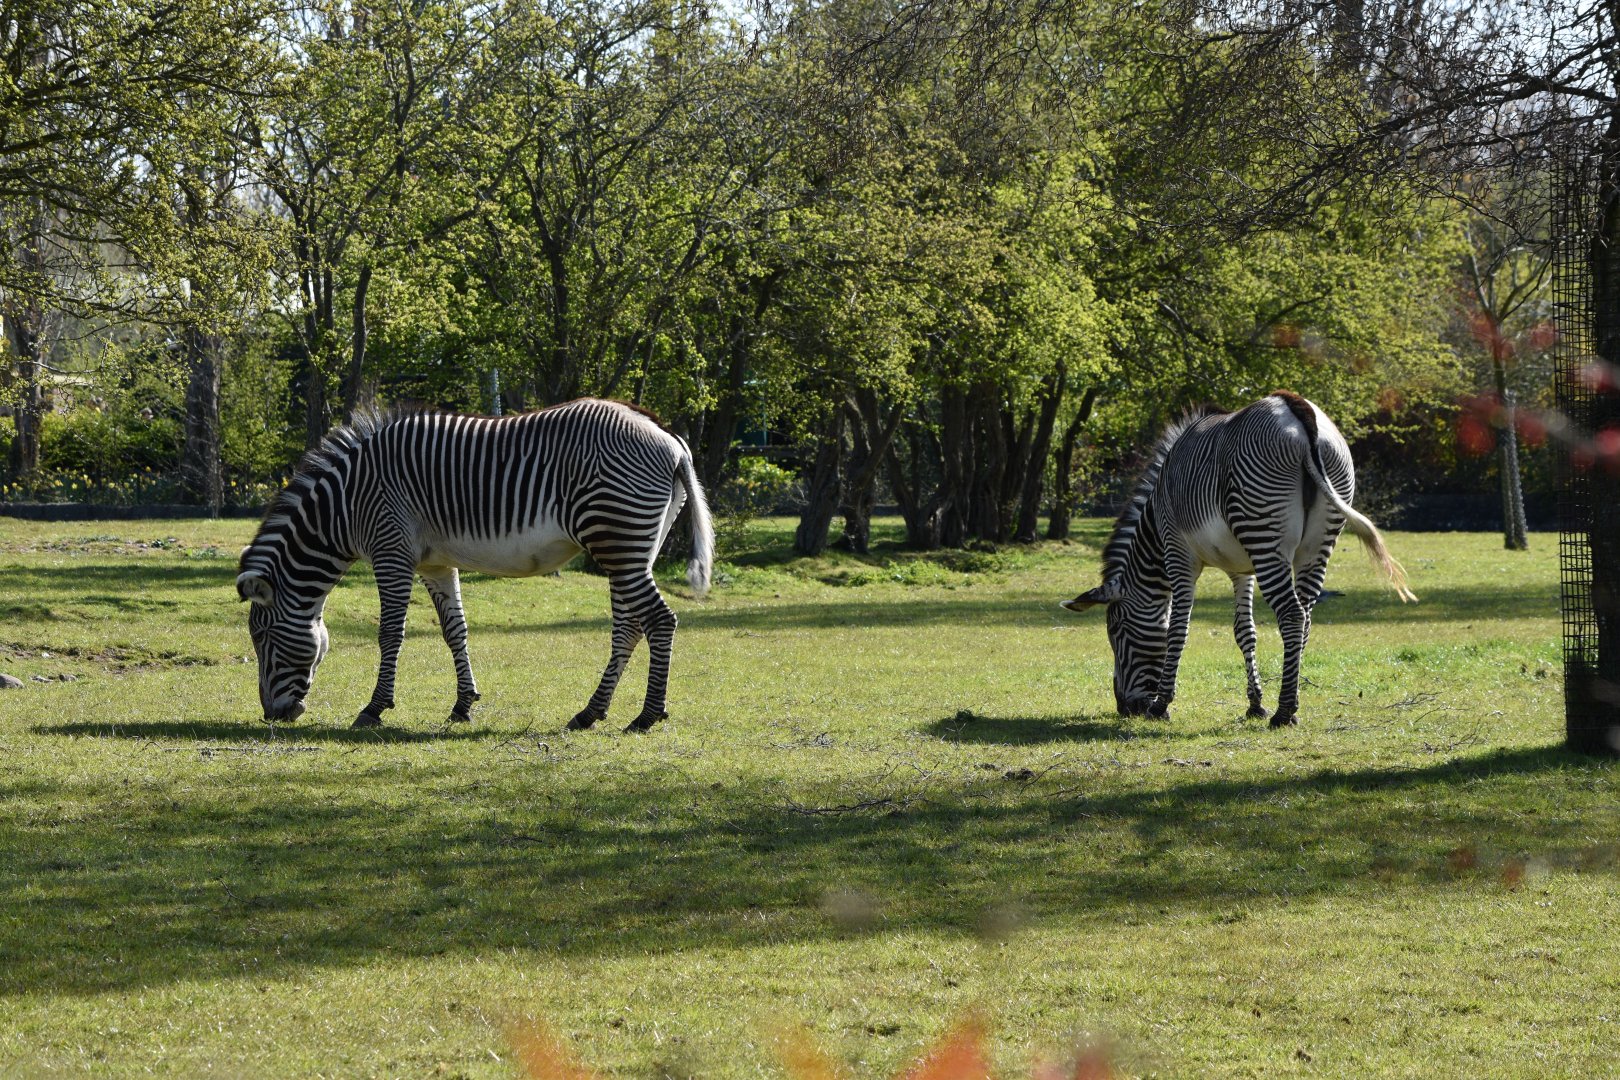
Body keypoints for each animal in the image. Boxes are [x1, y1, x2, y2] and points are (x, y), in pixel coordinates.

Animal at [236, 398, 713, 733]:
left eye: (263, 639)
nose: (272, 716)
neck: (345, 505)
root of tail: (670, 439)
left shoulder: (391, 551)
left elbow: (390, 633)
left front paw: (374, 709)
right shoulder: (434, 563)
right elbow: (455, 631)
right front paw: (463, 706)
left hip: (617, 537)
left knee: (659, 620)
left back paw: (647, 716)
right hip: (633, 547)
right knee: (630, 626)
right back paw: (590, 712)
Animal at [1061, 391, 1414, 727]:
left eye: (1116, 629)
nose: (1125, 708)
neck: (1154, 526)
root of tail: (1295, 409)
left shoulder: (1178, 554)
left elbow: (1177, 628)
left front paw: (1161, 706)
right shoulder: (1242, 570)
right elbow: (1245, 631)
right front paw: (1255, 704)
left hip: (1264, 531)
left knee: (1291, 615)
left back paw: (1284, 713)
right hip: (1317, 541)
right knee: (1305, 618)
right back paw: (1291, 703)